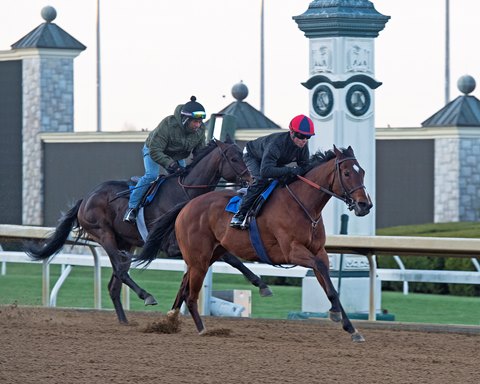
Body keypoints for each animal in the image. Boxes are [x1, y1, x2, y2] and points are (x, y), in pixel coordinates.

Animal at [24, 138, 272, 324]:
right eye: (234, 158)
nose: (253, 179)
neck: (186, 193)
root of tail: (85, 198)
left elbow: (232, 258)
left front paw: (261, 284)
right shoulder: (171, 246)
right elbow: (228, 258)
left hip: (126, 242)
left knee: (114, 284)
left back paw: (125, 321)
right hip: (104, 235)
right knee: (121, 271)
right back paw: (147, 296)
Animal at [133, 146, 374, 342]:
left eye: (362, 171)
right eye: (346, 173)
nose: (365, 205)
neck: (303, 204)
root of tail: (187, 204)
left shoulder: (318, 251)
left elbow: (328, 280)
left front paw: (351, 328)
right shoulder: (292, 251)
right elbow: (323, 272)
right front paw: (335, 313)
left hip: (208, 255)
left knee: (184, 285)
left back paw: (171, 320)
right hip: (199, 258)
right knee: (191, 296)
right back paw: (202, 330)